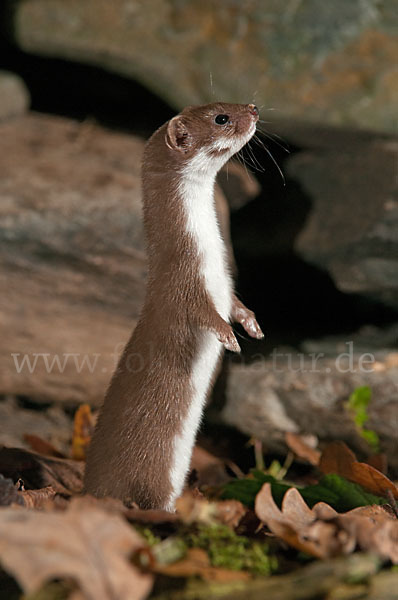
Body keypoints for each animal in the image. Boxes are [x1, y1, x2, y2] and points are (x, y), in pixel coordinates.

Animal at [83, 104, 264, 510]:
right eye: (221, 118)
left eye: (228, 104)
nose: (254, 108)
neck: (212, 257)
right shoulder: (183, 280)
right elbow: (201, 312)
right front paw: (229, 338)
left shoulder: (226, 283)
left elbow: (235, 304)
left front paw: (251, 325)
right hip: (149, 473)